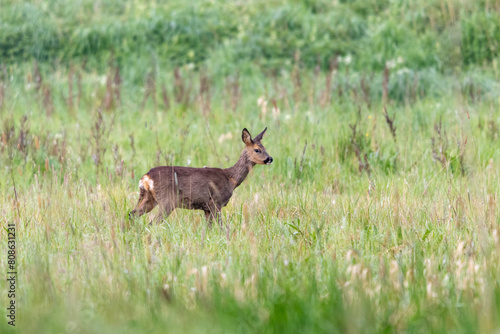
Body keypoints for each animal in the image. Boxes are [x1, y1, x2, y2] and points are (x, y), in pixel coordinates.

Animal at [127, 128, 272, 227]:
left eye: (265, 147)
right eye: (257, 149)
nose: (270, 158)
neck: (231, 179)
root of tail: (146, 177)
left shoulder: (206, 208)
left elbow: (208, 228)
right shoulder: (216, 202)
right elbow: (220, 227)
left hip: (147, 197)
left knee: (131, 214)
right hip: (167, 200)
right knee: (152, 223)